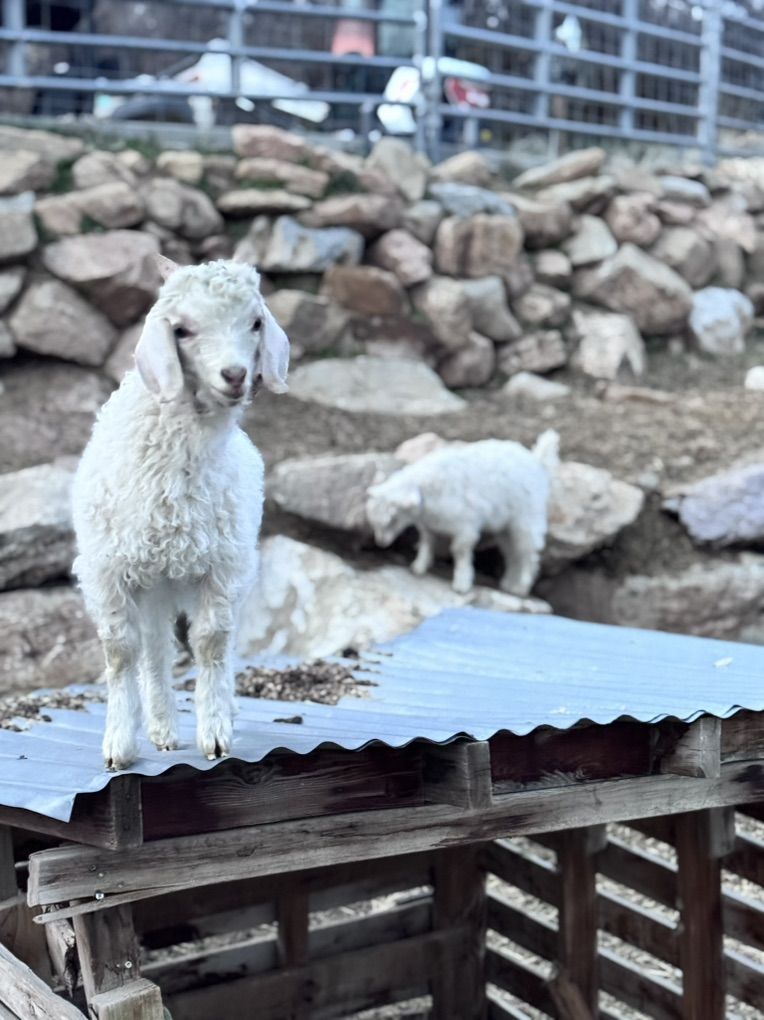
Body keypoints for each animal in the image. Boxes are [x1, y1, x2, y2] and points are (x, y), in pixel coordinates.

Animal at [72, 256, 289, 770]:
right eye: (183, 330)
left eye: (255, 322)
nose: (234, 375)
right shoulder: (107, 570)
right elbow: (120, 652)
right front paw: (118, 746)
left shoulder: (221, 570)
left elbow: (211, 644)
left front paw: (215, 736)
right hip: (154, 584)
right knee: (155, 651)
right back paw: (161, 729)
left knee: (212, 644)